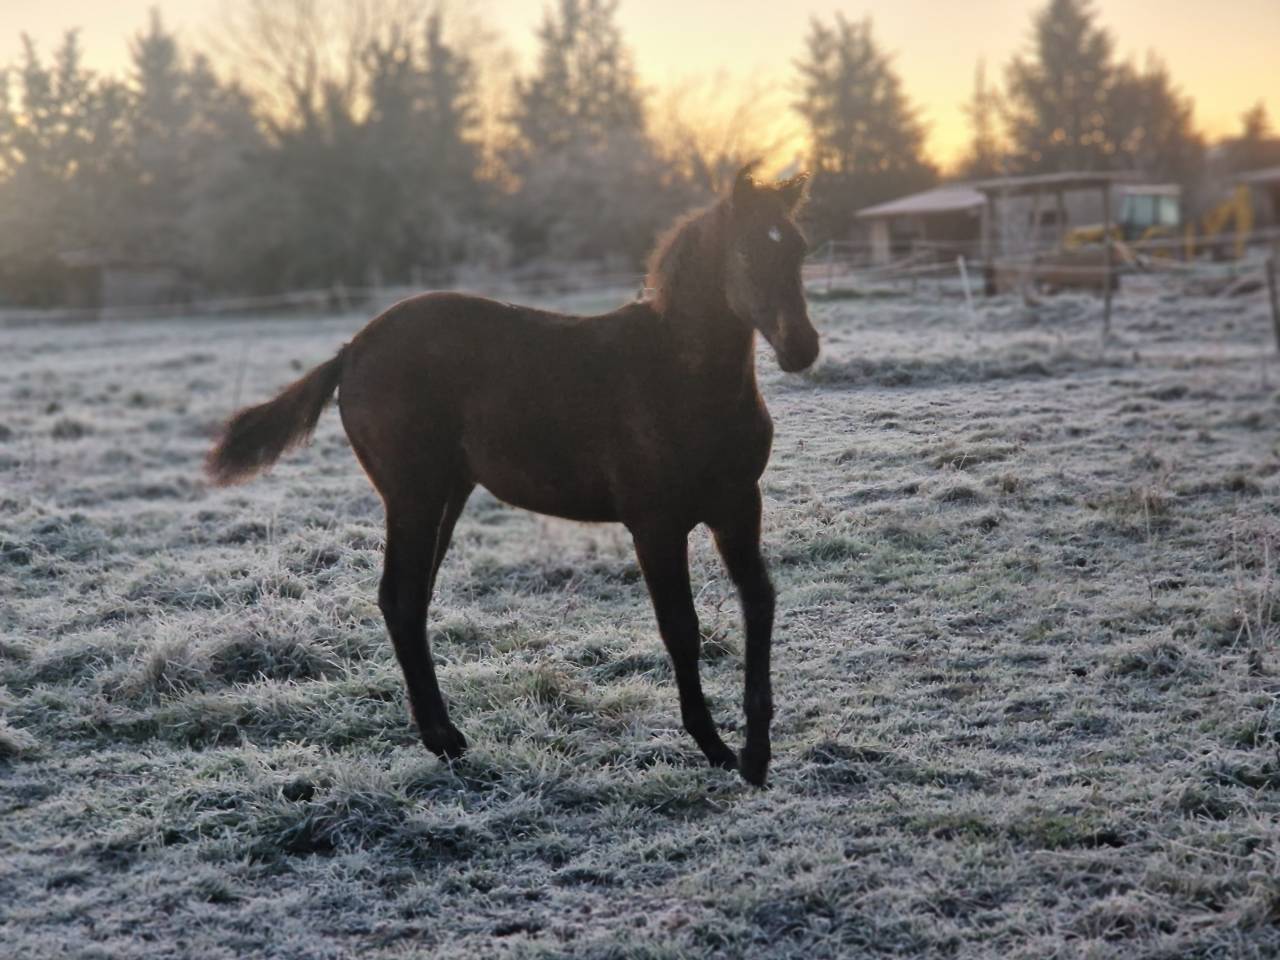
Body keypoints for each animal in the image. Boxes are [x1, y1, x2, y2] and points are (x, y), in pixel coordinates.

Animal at [206, 165, 818, 786]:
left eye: (799, 248)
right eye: (745, 250)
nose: (801, 348)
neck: (680, 376)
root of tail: (352, 349)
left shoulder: (738, 506)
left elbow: (759, 602)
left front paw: (756, 754)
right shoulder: (654, 524)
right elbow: (681, 628)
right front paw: (714, 747)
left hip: (446, 493)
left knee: (411, 599)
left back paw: (444, 736)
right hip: (412, 494)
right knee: (399, 596)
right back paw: (444, 739)